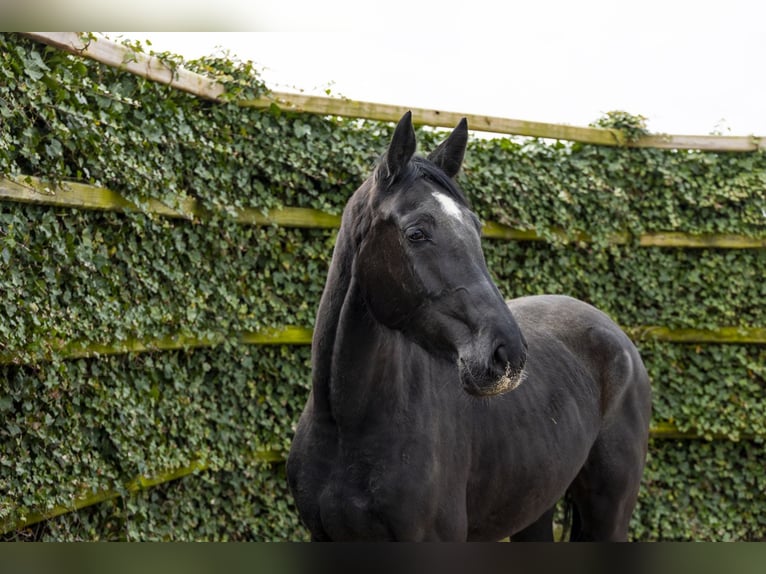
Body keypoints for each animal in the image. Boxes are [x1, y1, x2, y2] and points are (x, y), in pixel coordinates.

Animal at [286, 112, 652, 541]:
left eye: (476, 229)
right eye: (417, 232)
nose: (507, 355)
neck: (348, 424)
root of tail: (616, 336)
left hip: (607, 513)